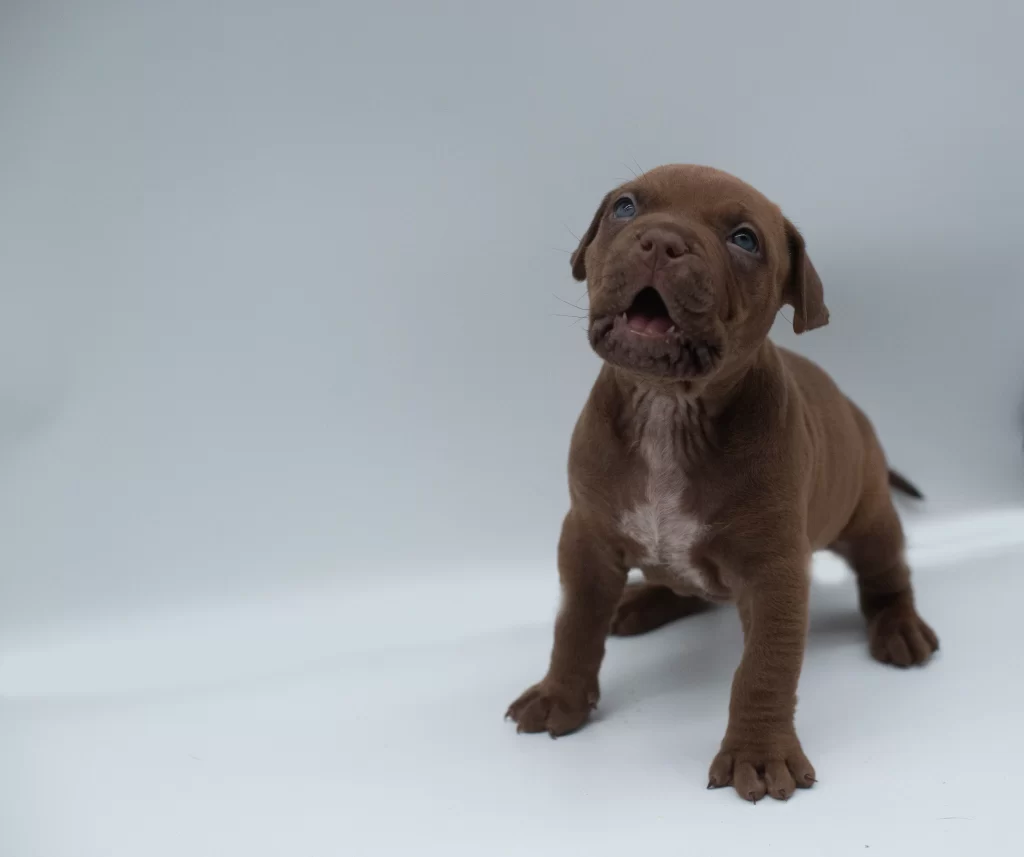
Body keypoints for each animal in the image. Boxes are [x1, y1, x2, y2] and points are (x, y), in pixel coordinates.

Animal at [503, 165, 937, 802]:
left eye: (744, 240)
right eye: (625, 207)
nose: (661, 242)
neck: (668, 409)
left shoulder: (775, 571)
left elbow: (764, 667)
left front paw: (758, 755)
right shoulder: (585, 538)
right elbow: (575, 624)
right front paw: (560, 695)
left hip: (869, 518)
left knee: (887, 574)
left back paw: (900, 627)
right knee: (682, 587)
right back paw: (637, 602)